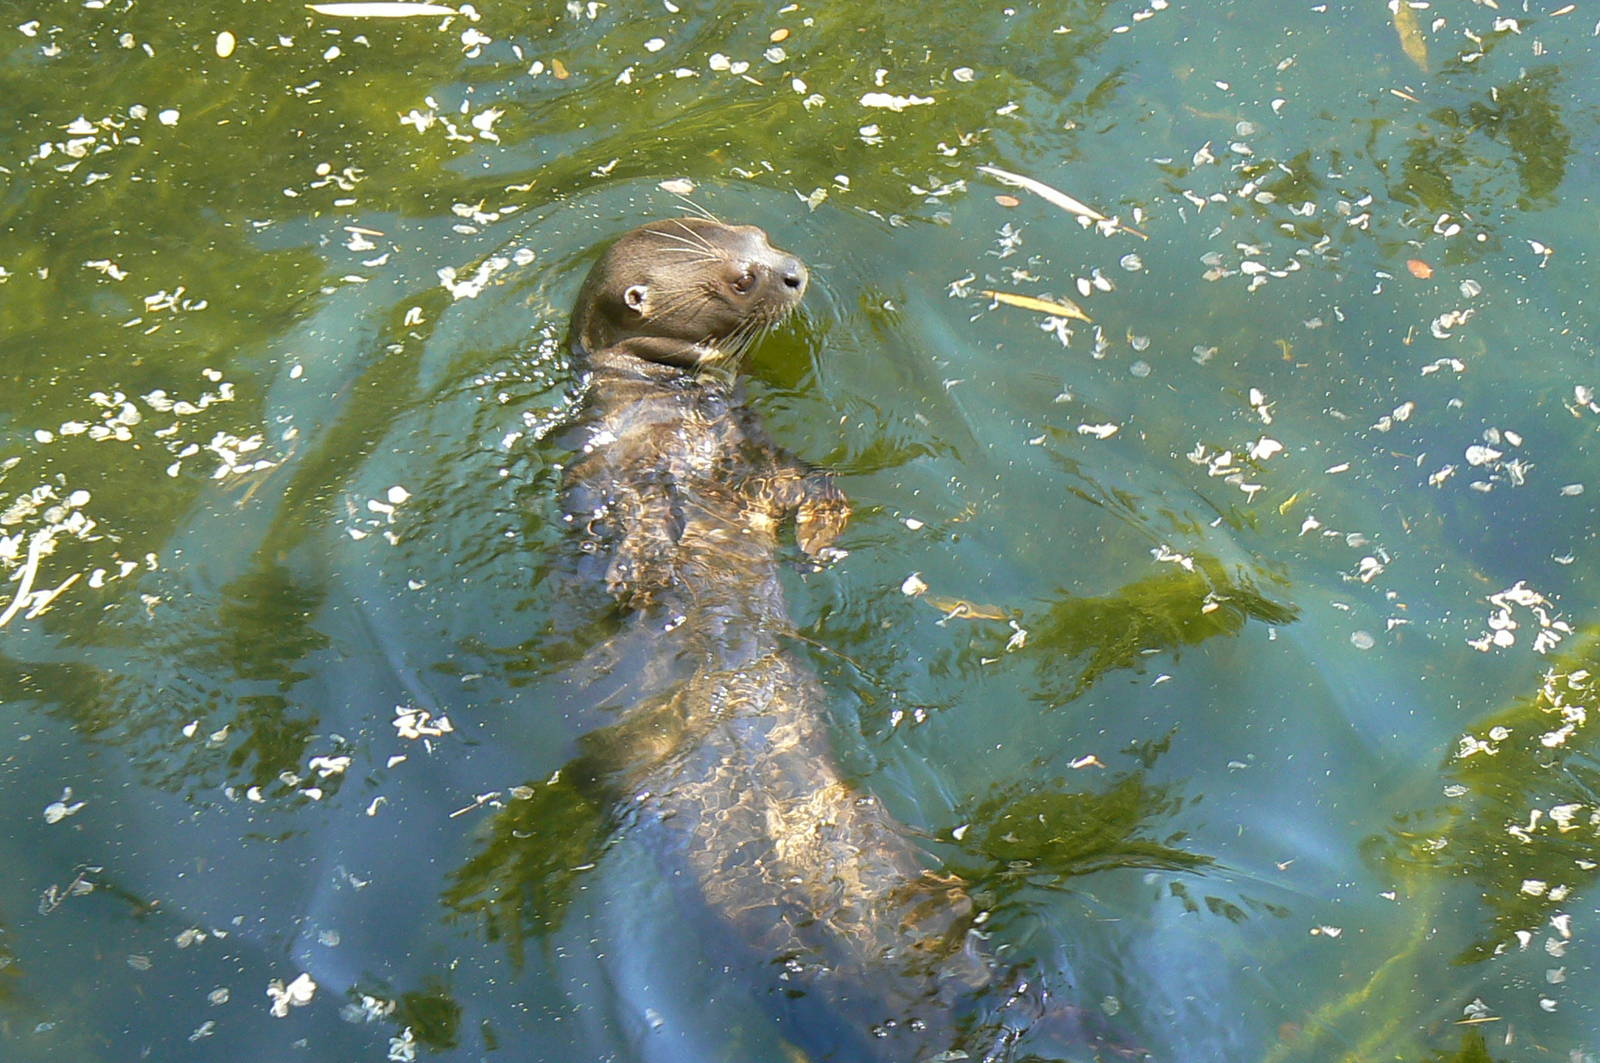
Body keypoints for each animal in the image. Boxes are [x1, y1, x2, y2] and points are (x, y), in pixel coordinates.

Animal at [560, 217, 1047, 1061]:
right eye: (740, 276)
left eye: (753, 231)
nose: (792, 271)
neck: (658, 401)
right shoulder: (625, 463)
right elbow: (642, 518)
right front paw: (640, 572)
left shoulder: (747, 449)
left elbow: (802, 477)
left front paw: (821, 533)